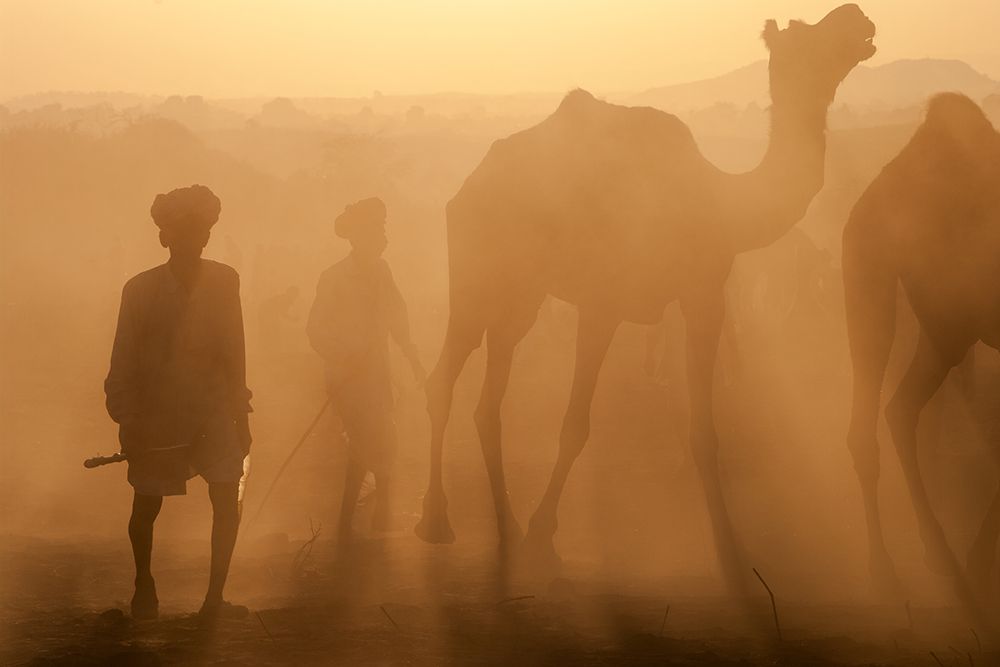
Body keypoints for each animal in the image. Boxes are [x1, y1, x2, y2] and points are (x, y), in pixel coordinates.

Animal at [414, 5, 876, 596]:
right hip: (477, 277)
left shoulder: (701, 296)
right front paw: (546, 529)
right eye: (805, 37)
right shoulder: (604, 302)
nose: (857, 18)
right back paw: (438, 521)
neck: (720, 201)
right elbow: (577, 425)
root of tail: (465, 187)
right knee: (442, 381)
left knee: (488, 400)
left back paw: (505, 525)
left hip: (522, 298)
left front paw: (731, 554)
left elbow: (700, 430)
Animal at [844, 94, 1000, 612]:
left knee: (897, 410)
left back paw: (939, 560)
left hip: (939, 324)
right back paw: (893, 575)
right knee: (868, 425)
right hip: (885, 285)